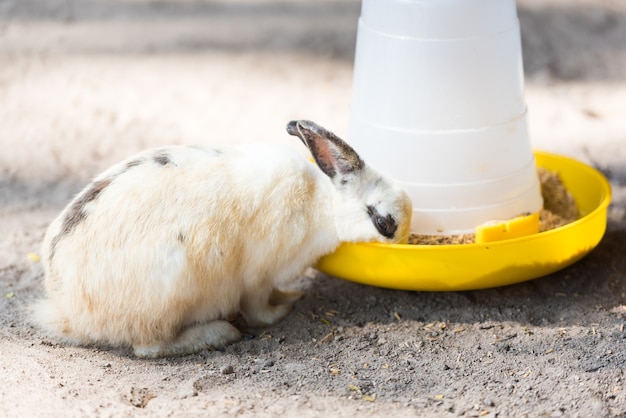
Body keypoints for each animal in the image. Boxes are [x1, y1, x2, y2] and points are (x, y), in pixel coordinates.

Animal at [33, 119, 410, 358]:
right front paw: (285, 307)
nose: (400, 239)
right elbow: (259, 310)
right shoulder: (258, 275)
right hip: (172, 288)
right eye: (383, 223)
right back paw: (220, 333)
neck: (325, 204)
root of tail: (68, 310)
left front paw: (289, 295)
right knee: (149, 346)